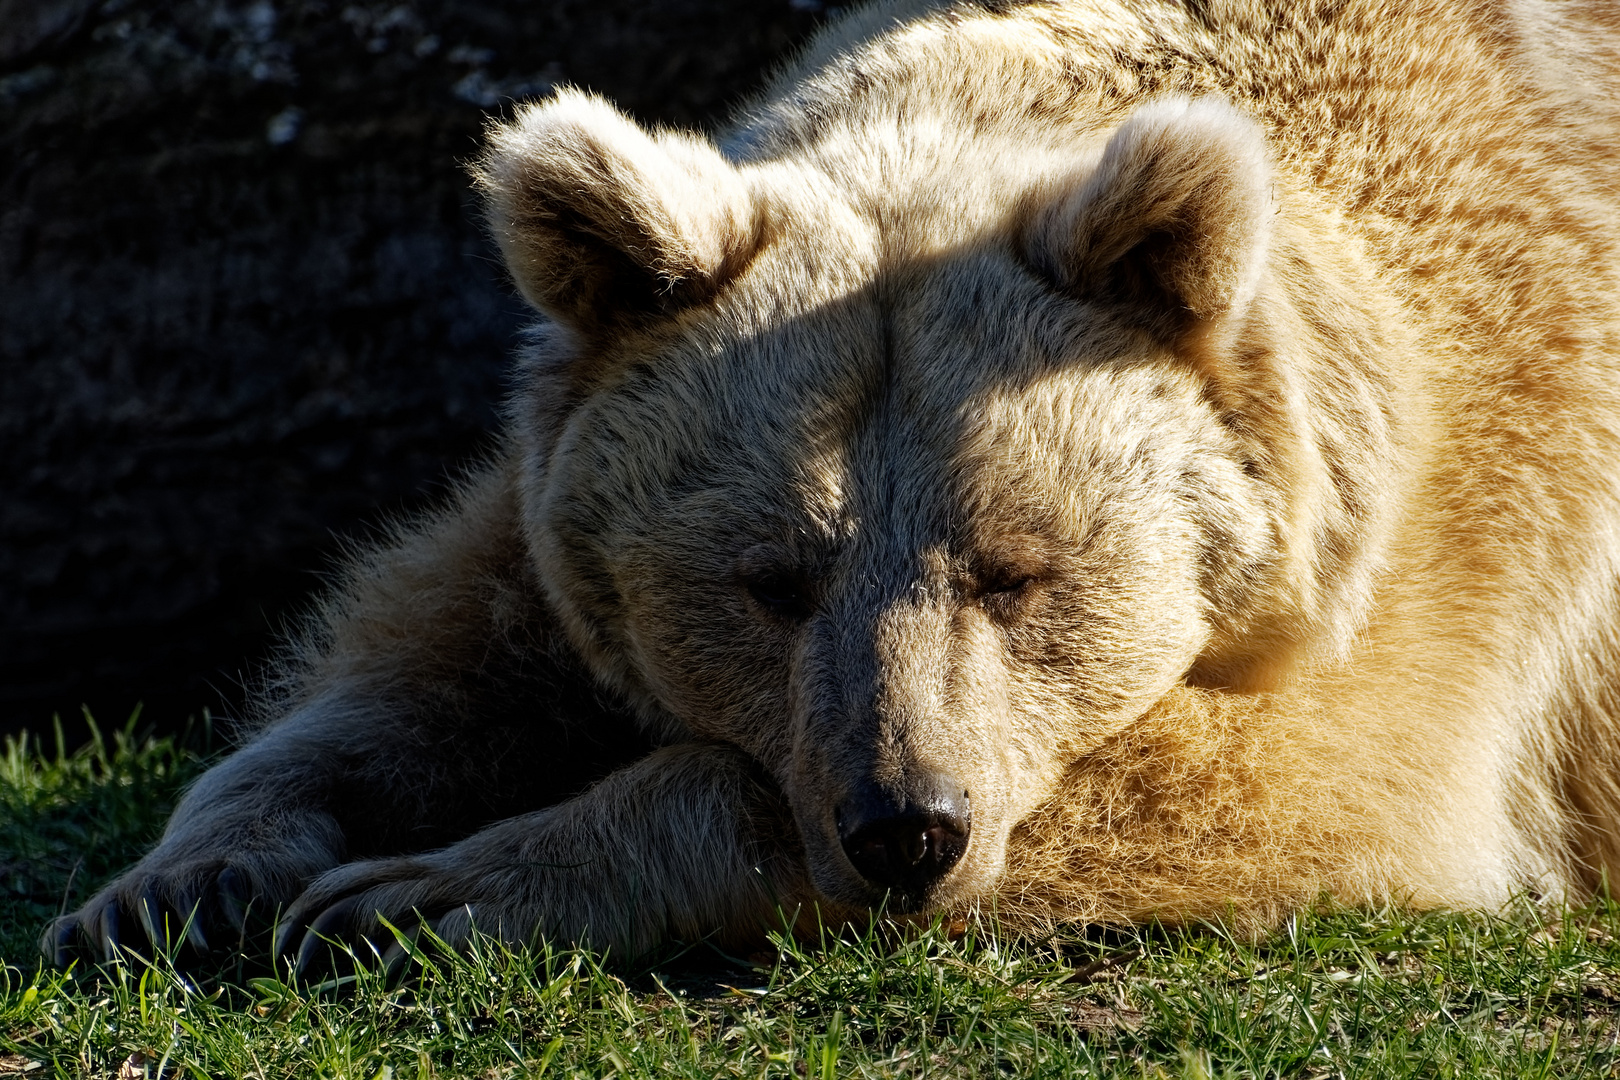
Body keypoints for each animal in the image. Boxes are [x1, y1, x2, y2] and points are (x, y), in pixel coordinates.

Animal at [44, 0, 1620, 971]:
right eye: (772, 580)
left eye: (1014, 570)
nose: (906, 825)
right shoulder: (555, 500)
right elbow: (433, 656)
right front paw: (181, 885)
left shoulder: (1468, 516)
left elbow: (1279, 785)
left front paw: (418, 895)